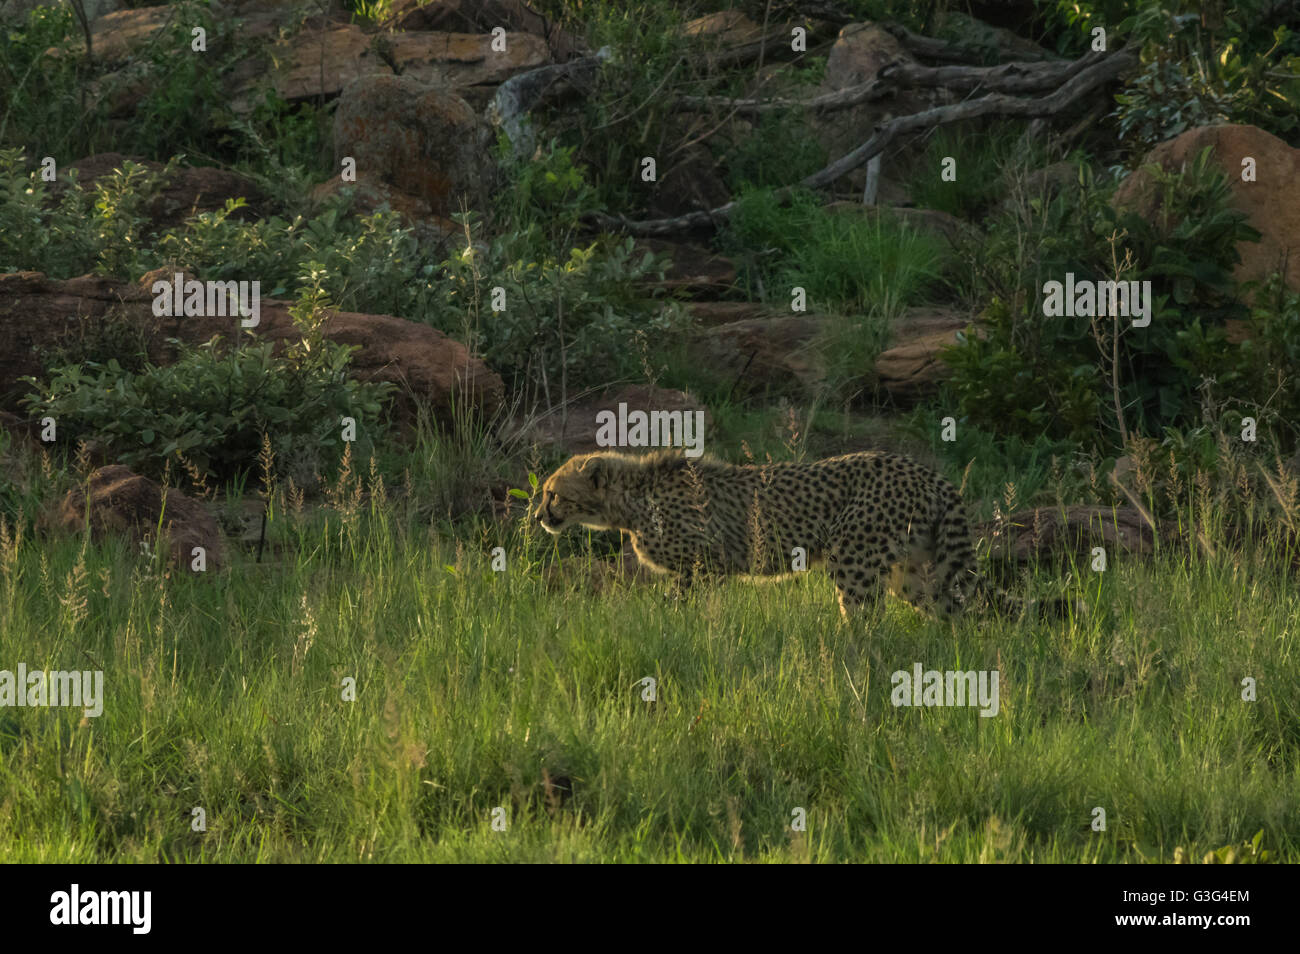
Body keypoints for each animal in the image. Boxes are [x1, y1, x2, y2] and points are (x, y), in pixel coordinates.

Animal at [533, 449, 1040, 621]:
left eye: (553, 493)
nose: (539, 515)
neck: (631, 498)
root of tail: (924, 470)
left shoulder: (703, 566)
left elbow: (682, 607)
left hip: (854, 557)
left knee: (864, 619)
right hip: (914, 570)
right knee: (955, 610)